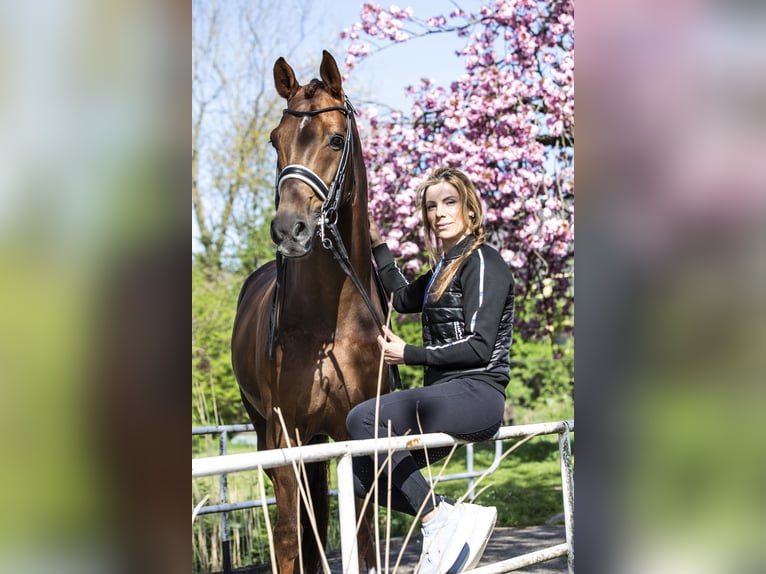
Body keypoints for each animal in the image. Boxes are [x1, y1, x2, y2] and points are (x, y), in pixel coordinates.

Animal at [231, 50, 392, 574]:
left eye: (336, 139)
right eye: (274, 140)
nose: (289, 229)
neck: (330, 324)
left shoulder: (355, 437)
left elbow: (361, 537)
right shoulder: (287, 439)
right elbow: (288, 538)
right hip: (268, 434)